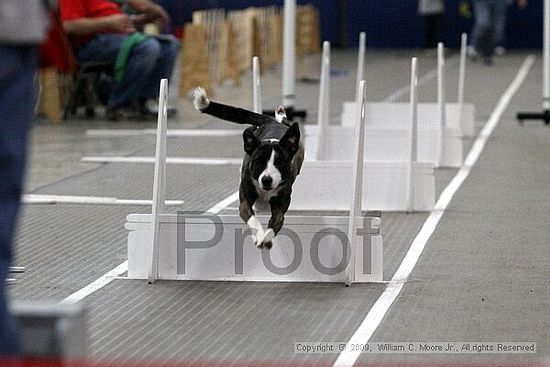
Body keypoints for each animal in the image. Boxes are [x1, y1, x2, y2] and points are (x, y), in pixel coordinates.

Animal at [194, 88, 306, 250]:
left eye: (279, 162)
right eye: (258, 161)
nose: (266, 180)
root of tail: (272, 123)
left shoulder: (281, 204)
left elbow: (276, 221)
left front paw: (267, 238)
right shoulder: (245, 200)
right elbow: (251, 217)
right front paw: (259, 236)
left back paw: (280, 115)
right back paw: (280, 114)